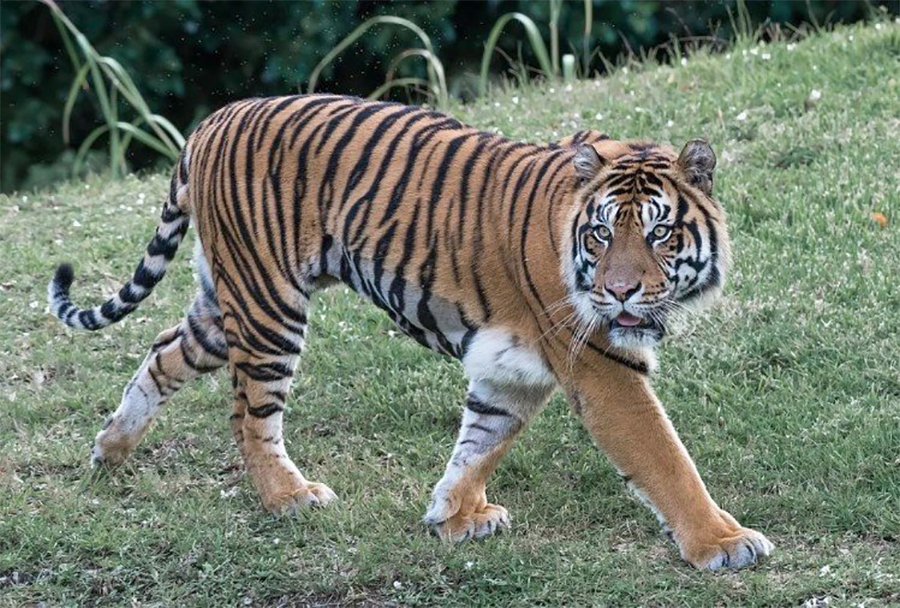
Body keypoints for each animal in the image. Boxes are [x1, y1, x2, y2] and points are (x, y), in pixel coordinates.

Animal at [48, 94, 772, 570]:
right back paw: (289, 497)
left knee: (163, 351)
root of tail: (209, 121)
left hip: (225, 305)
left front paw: (454, 515)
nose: (620, 292)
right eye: (601, 233)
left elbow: (481, 441)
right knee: (249, 415)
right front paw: (723, 543)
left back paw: (111, 450)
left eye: (659, 232)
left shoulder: (511, 368)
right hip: (268, 307)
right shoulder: (602, 366)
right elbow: (665, 457)